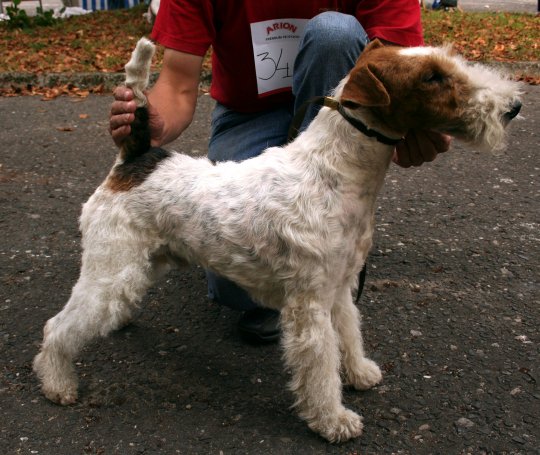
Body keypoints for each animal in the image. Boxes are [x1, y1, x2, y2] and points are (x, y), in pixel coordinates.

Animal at [32, 37, 520, 444]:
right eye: (432, 78)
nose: (512, 106)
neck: (336, 173)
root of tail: (134, 160)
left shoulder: (339, 288)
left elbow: (350, 335)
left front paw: (360, 372)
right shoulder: (310, 305)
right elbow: (320, 368)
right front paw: (334, 420)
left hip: (143, 261)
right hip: (110, 267)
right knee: (57, 327)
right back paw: (58, 384)